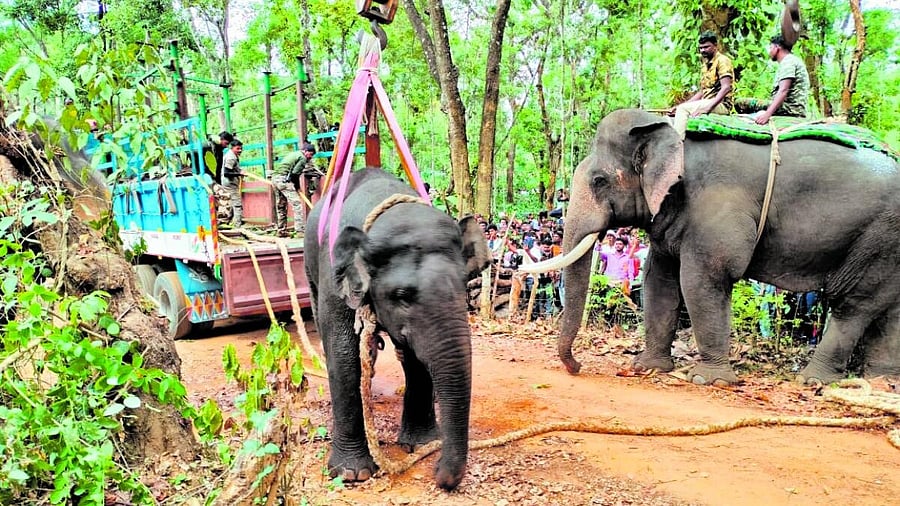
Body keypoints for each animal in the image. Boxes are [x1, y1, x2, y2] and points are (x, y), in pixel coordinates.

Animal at [304, 167, 491, 490]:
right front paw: (352, 474)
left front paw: (422, 444)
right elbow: (344, 353)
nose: (439, 475)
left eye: (464, 286)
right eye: (402, 295)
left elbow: (416, 358)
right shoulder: (332, 276)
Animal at [532, 108, 900, 386]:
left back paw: (814, 380)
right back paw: (882, 382)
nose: (577, 367)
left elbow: (703, 279)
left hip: (880, 235)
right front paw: (647, 368)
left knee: (853, 305)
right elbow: (659, 281)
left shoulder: (716, 203)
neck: (668, 128)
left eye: (599, 181)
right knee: (891, 310)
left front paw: (709, 380)